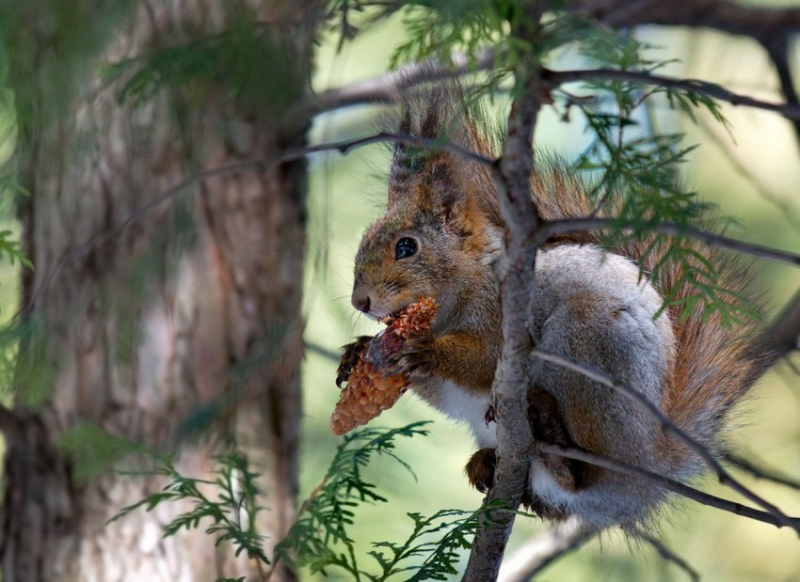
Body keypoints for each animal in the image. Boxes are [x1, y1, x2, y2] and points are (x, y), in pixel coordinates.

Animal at [332, 84, 764, 528]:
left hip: (588, 353)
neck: (465, 287)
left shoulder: (502, 317)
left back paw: (552, 435)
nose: (360, 302)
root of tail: (647, 474)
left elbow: (482, 359)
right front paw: (359, 352)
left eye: (406, 247)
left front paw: (426, 350)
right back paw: (490, 464)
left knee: (584, 474)